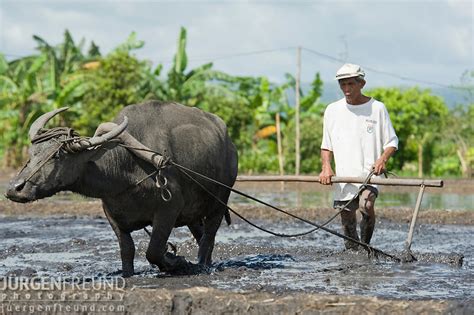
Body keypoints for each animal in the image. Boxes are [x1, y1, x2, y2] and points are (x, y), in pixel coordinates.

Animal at [4, 101, 237, 276]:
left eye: (57, 156)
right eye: (32, 153)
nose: (15, 189)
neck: (125, 169)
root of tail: (229, 142)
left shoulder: (169, 208)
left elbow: (153, 250)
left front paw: (176, 261)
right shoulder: (111, 213)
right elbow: (127, 249)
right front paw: (128, 274)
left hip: (219, 202)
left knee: (209, 237)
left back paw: (202, 265)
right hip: (192, 213)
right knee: (201, 235)